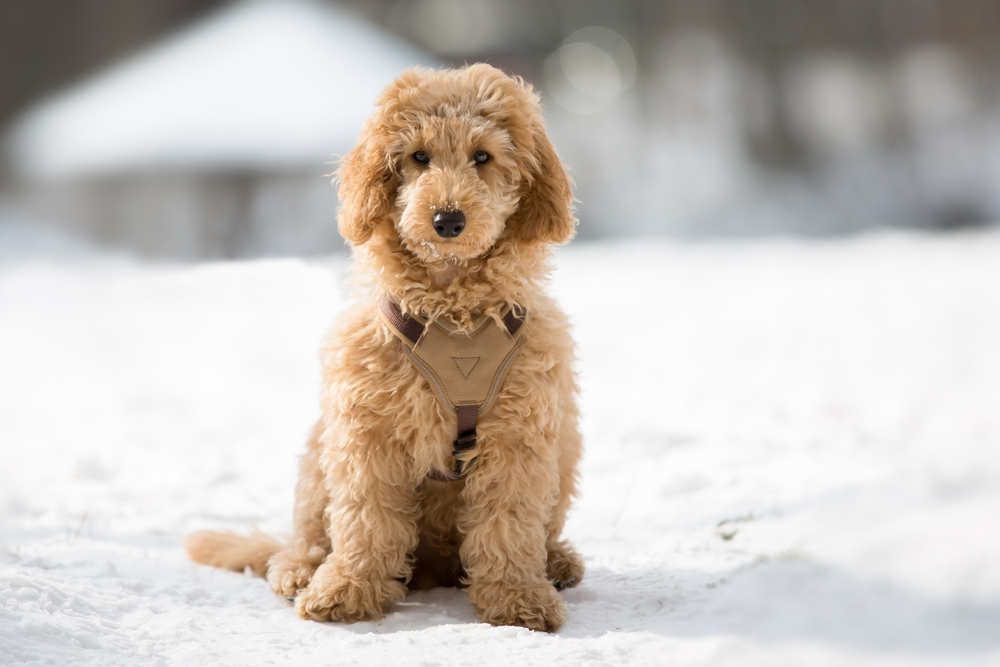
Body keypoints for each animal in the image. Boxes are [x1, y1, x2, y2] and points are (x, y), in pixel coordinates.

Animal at [186, 65, 584, 636]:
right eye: (418, 156)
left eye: (483, 156)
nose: (446, 220)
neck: (452, 312)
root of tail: (435, 567)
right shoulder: (367, 428)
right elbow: (366, 517)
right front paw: (348, 589)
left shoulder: (519, 433)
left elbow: (509, 520)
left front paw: (517, 597)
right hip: (318, 453)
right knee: (301, 539)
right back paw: (300, 571)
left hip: (567, 447)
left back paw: (557, 563)